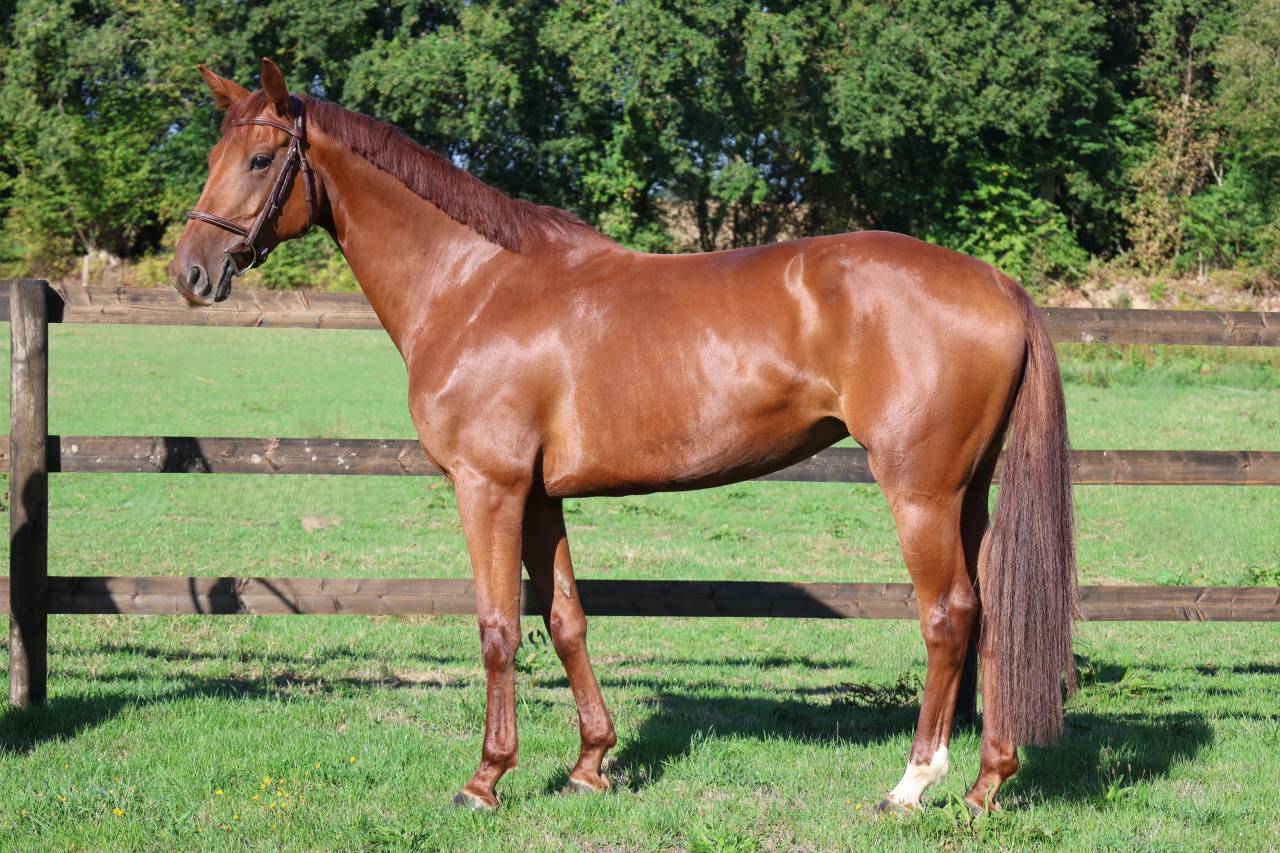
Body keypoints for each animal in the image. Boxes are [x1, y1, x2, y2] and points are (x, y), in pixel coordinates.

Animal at [170, 58, 1076, 813]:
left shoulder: (488, 487)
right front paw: (589, 764)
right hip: (968, 492)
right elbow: (565, 619)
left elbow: (498, 628)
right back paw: (988, 783)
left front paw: (485, 780)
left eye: (261, 160)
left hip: (920, 492)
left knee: (949, 615)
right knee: (992, 614)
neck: (473, 285)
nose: (190, 273)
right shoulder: (540, 495)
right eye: (214, 153)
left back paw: (913, 783)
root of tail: (998, 283)